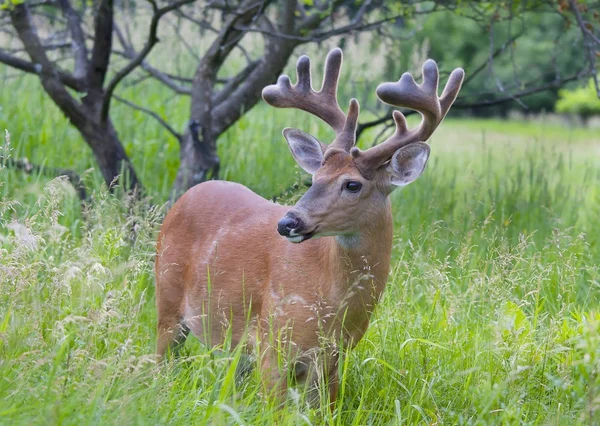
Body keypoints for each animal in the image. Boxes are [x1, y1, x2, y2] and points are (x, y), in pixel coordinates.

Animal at [155, 48, 464, 408]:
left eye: (353, 184)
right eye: (315, 178)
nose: (288, 222)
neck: (334, 305)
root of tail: (183, 198)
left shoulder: (333, 357)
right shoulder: (272, 341)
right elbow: (276, 411)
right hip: (167, 301)